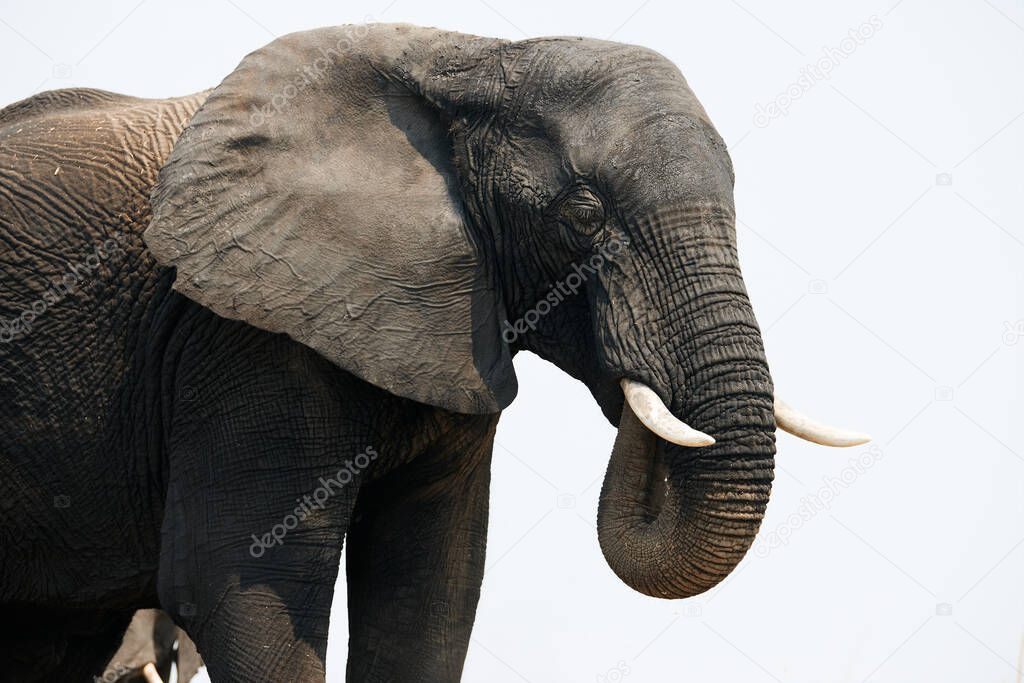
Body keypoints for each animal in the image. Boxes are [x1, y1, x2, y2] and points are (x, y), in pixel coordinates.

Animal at [0, 24, 864, 679]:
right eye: (584, 214)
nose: (633, 369)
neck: (475, 60)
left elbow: (427, 594)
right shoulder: (243, 333)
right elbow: (239, 584)